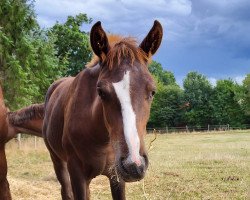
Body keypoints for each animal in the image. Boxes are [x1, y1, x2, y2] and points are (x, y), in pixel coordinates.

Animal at [43, 20, 162, 200]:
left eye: (152, 91)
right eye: (101, 92)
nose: (134, 165)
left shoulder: (116, 176)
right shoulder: (76, 173)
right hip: (57, 160)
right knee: (65, 191)